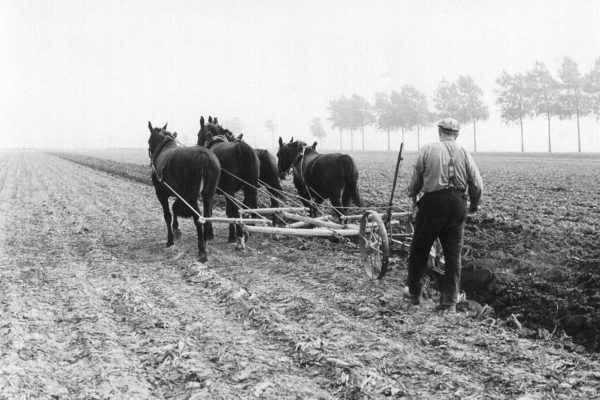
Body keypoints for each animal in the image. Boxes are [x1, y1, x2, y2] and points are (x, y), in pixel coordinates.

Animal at [147, 120, 220, 260]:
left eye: (149, 141)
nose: (150, 156)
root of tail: (202, 155)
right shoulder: (180, 194)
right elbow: (175, 208)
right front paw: (176, 230)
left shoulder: (161, 193)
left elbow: (168, 215)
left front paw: (170, 240)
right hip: (208, 193)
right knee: (206, 215)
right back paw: (206, 240)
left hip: (191, 196)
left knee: (198, 218)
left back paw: (202, 250)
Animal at [198, 114, 262, 250]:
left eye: (198, 134)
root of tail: (240, 147)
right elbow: (229, 212)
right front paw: (232, 235)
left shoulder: (214, 190)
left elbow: (210, 210)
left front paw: (211, 234)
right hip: (250, 187)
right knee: (248, 206)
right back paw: (247, 231)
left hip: (230, 190)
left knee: (236, 209)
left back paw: (240, 237)